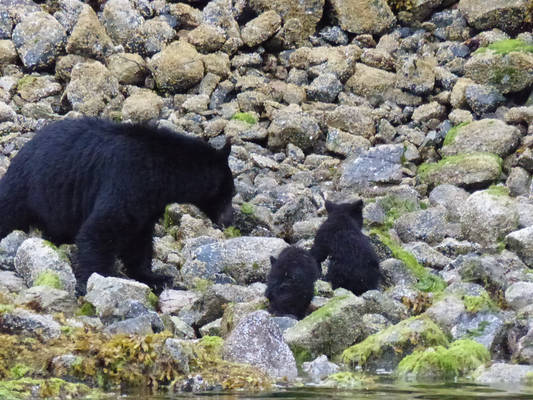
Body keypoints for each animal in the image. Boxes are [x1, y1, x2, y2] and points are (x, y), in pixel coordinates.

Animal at [0, 118, 235, 294]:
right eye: (230, 193)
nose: (229, 220)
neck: (164, 171)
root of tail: (24, 148)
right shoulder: (128, 179)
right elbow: (100, 229)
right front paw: (100, 279)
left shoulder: (148, 203)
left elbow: (139, 240)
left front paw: (155, 277)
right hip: (26, 187)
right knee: (9, 211)